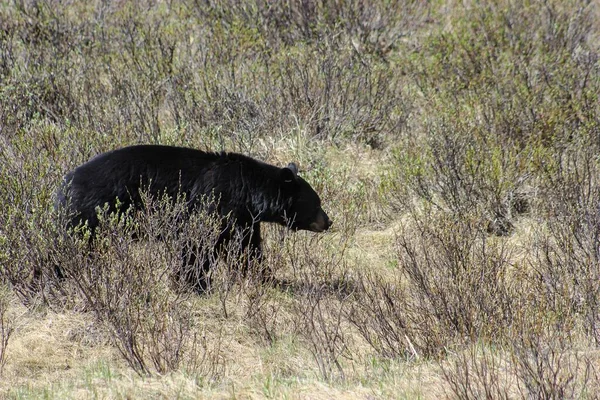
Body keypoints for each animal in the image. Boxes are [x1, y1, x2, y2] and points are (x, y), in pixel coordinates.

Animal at [55, 144, 332, 290]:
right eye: (316, 202)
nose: (329, 221)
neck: (248, 191)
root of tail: (65, 182)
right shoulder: (215, 203)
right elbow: (198, 243)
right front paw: (194, 283)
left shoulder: (242, 218)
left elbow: (245, 249)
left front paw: (267, 279)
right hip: (91, 212)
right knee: (73, 246)